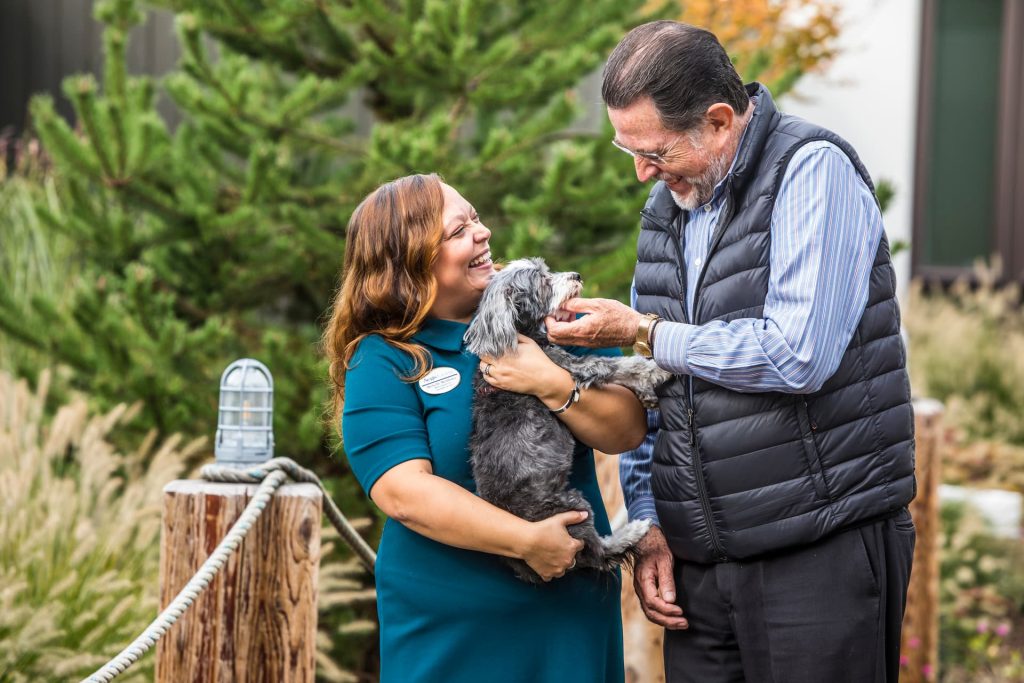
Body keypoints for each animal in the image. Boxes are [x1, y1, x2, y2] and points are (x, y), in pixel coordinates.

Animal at [466, 259, 671, 585]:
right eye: (542, 282)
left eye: (546, 269)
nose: (576, 275)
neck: (522, 337)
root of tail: (521, 565)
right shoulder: (574, 366)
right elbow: (619, 366)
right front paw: (657, 370)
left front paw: (647, 393)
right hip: (572, 508)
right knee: (599, 553)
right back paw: (634, 530)